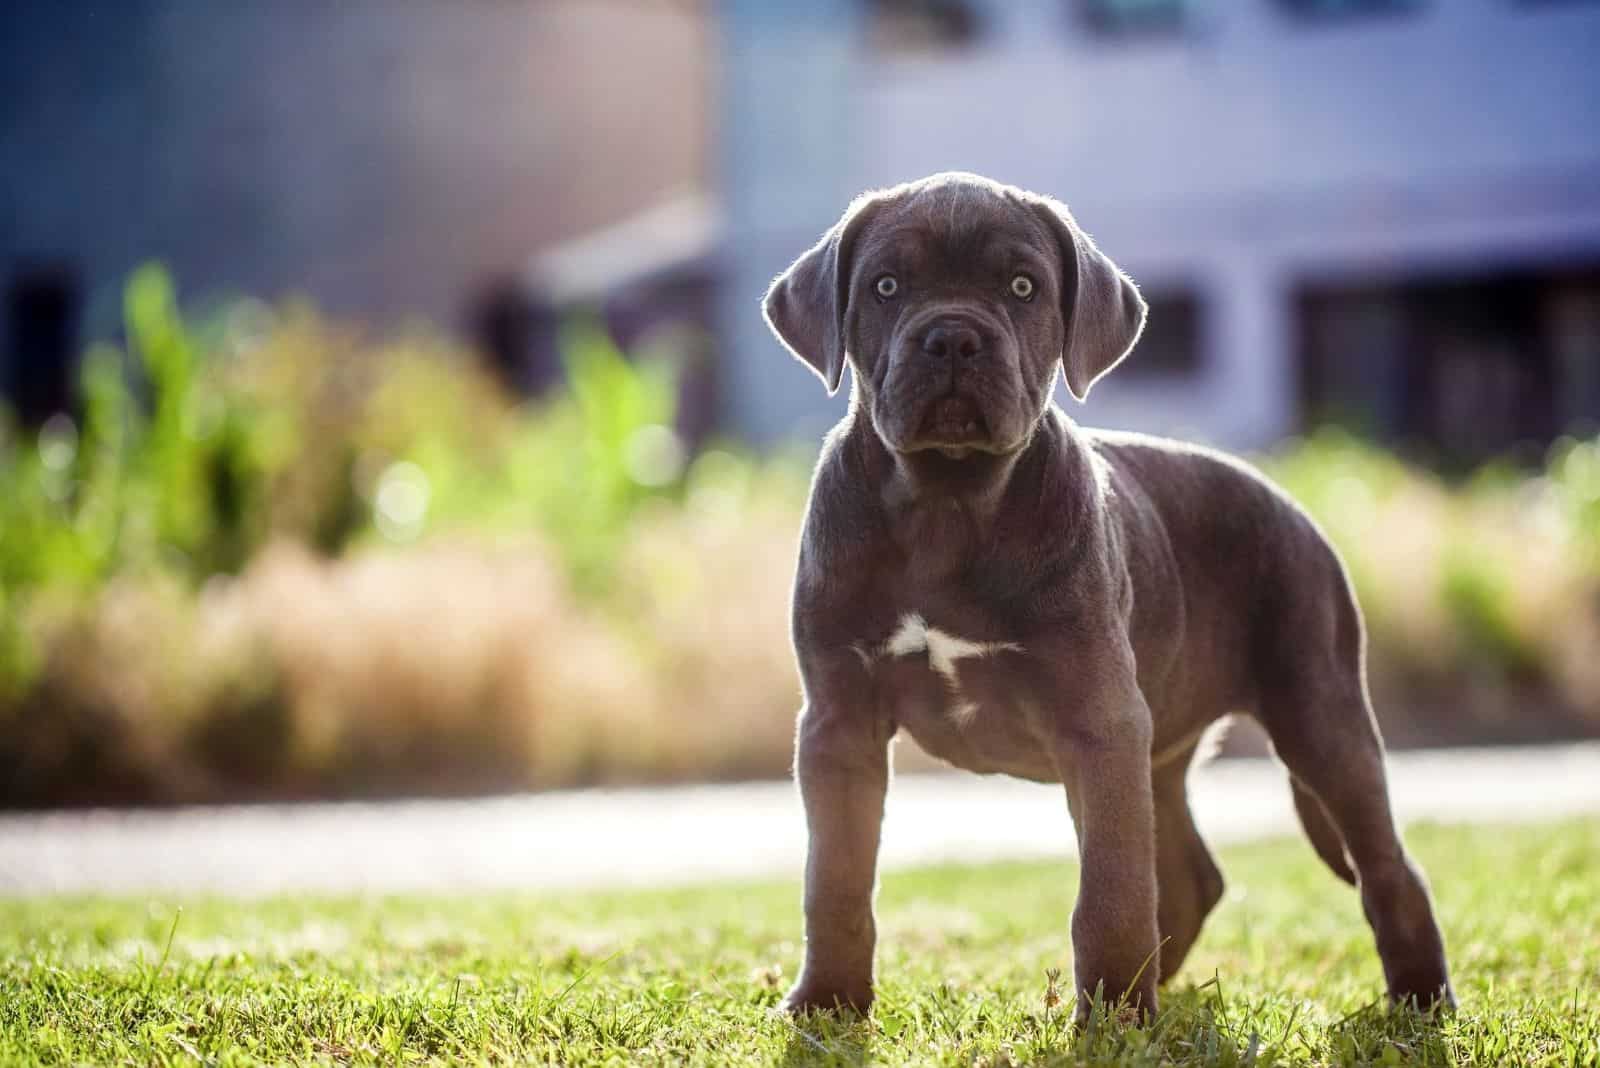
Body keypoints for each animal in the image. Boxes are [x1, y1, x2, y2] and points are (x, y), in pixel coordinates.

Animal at [758, 171, 1452, 1023]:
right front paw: (826, 1002)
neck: (947, 500)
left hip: (1317, 709)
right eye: (886, 286)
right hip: (1162, 744)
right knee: (1191, 873)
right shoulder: (839, 718)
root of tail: (1292, 506)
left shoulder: (1097, 716)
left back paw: (1417, 1000)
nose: (953, 338)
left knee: (1386, 864)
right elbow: (835, 875)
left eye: (1023, 287)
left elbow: (1111, 886)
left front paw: (1112, 1008)